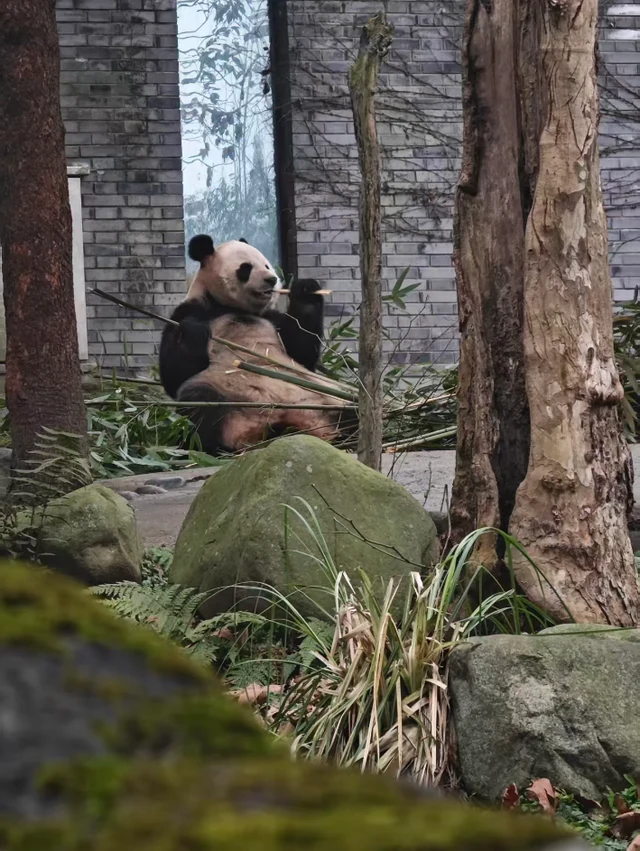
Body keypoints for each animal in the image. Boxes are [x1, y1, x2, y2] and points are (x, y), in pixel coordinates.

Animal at [159, 234, 355, 455]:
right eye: (246, 268)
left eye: (267, 265)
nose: (272, 279)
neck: (230, 307)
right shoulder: (189, 311)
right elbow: (174, 375)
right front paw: (193, 330)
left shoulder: (270, 318)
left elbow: (301, 352)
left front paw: (306, 291)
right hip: (227, 396)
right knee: (200, 404)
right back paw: (216, 447)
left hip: (326, 398)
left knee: (355, 405)